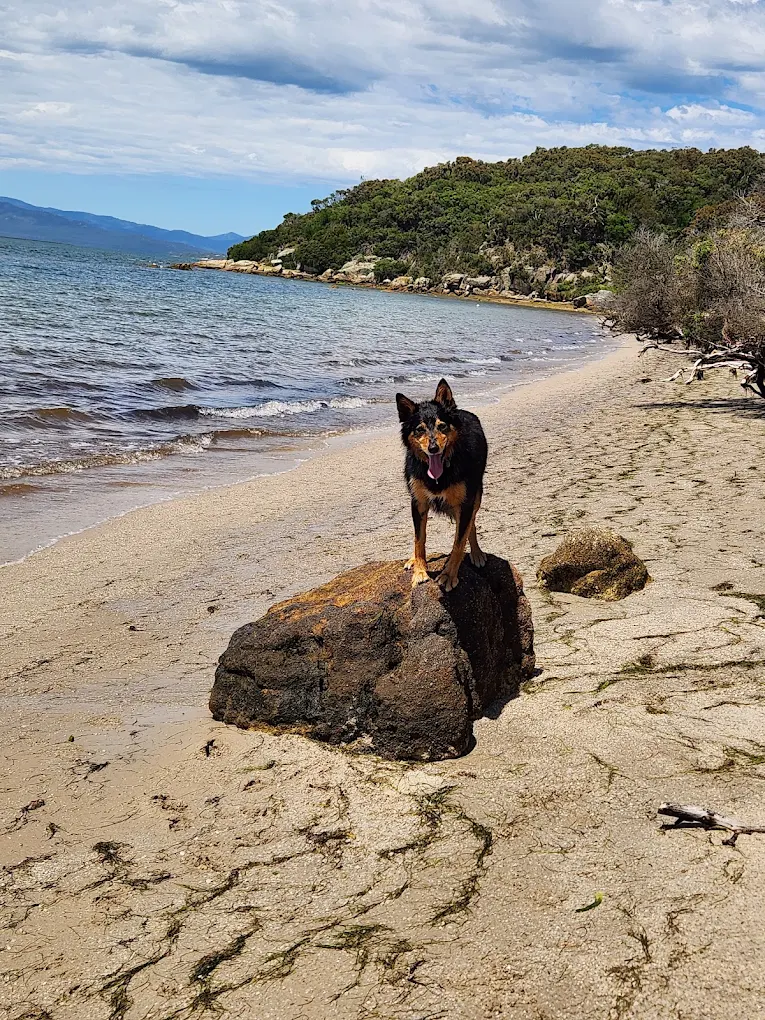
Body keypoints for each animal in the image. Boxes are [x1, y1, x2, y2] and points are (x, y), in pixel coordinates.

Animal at [396, 378, 488, 591]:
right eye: (420, 429)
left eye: (442, 426)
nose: (433, 448)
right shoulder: (418, 503)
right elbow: (419, 539)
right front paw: (420, 570)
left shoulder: (466, 503)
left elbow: (458, 542)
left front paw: (448, 575)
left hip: (476, 497)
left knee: (471, 526)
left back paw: (476, 553)